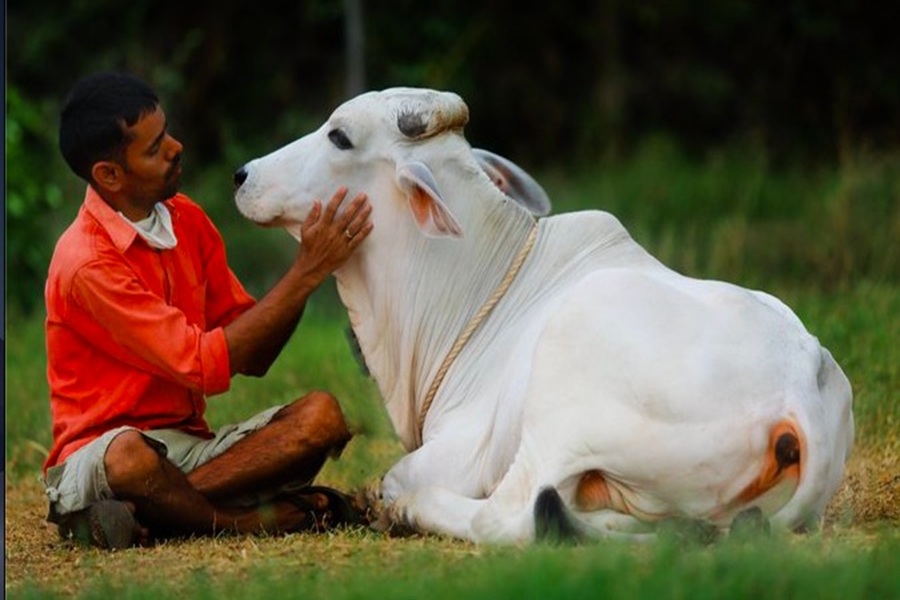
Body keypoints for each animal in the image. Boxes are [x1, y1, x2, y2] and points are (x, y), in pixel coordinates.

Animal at [233, 87, 854, 543]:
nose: (243, 175)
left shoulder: (467, 451)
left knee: (513, 514)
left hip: (563, 395)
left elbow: (397, 475)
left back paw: (413, 511)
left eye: (340, 136)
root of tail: (800, 386)